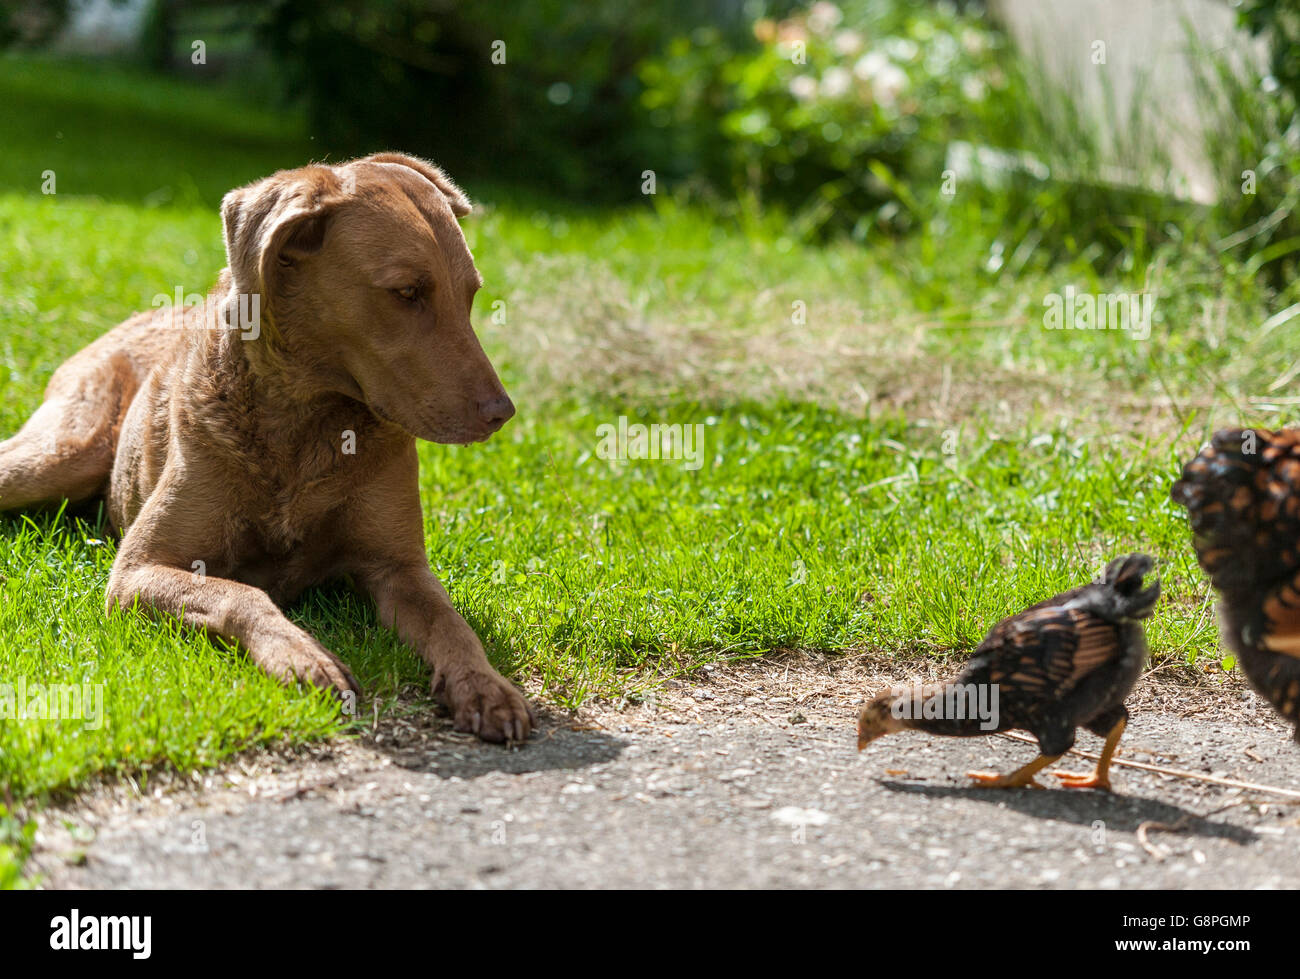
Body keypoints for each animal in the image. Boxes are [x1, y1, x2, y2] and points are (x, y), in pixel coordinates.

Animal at [0, 150, 533, 738]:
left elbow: (451, 624)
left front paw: (483, 685)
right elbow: (240, 593)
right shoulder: (138, 569)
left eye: (472, 295)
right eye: (407, 292)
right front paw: (305, 659)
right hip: (64, 452)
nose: (502, 413)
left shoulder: (400, 568)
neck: (306, 423)